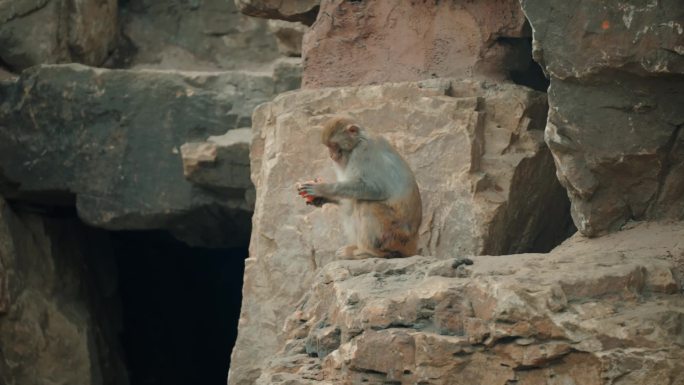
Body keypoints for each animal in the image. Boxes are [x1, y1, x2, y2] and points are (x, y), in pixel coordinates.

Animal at [298, 115, 422, 258]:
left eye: (333, 146)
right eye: (328, 146)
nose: (331, 155)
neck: (357, 142)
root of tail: (413, 243)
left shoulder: (363, 151)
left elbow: (376, 189)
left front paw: (321, 189)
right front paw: (321, 198)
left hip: (394, 235)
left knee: (365, 203)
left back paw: (367, 251)